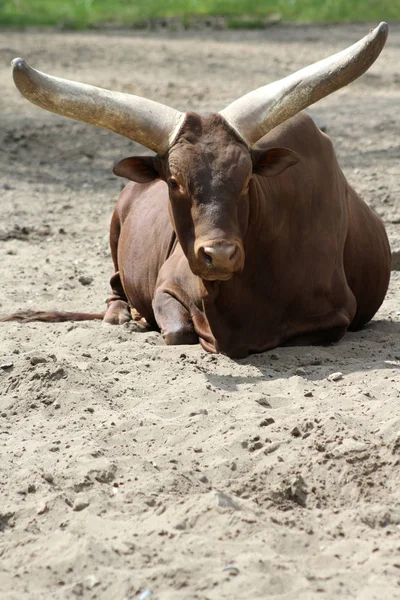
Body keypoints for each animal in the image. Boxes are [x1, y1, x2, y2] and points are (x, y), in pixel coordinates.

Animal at [3, 24, 390, 356]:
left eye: (247, 179)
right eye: (174, 181)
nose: (219, 255)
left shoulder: (335, 316)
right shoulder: (166, 286)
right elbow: (178, 331)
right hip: (114, 232)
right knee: (115, 285)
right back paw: (122, 315)